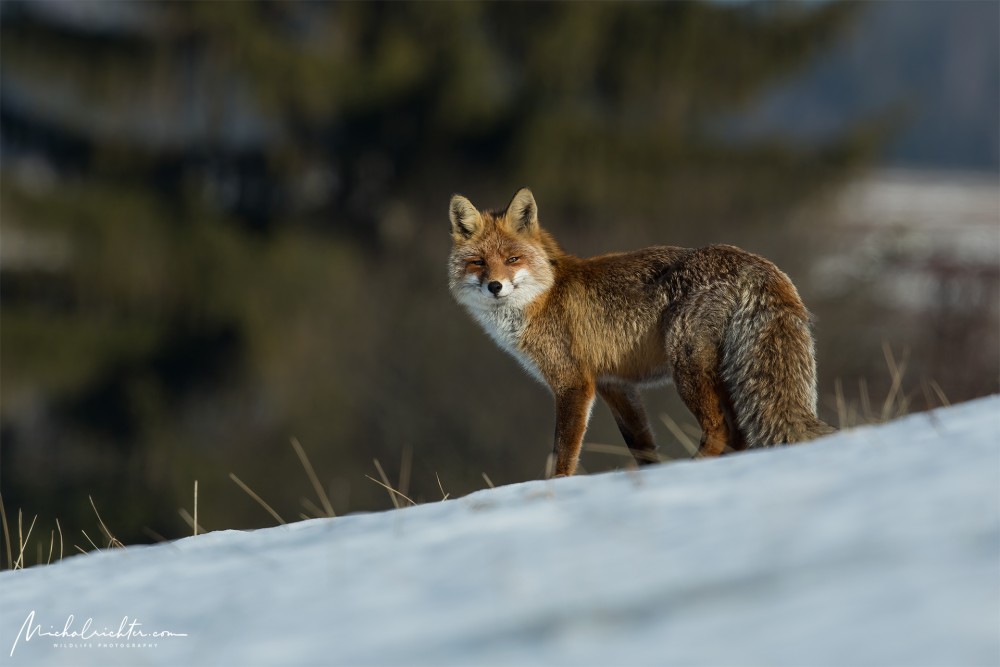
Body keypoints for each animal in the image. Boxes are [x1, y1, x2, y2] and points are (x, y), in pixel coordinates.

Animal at [448, 188, 836, 480]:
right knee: (737, 435)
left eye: (513, 259)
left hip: (688, 368)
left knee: (721, 430)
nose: (495, 286)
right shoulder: (615, 385)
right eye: (478, 262)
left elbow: (563, 452)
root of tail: (754, 261)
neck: (544, 296)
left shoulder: (573, 383)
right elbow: (642, 446)